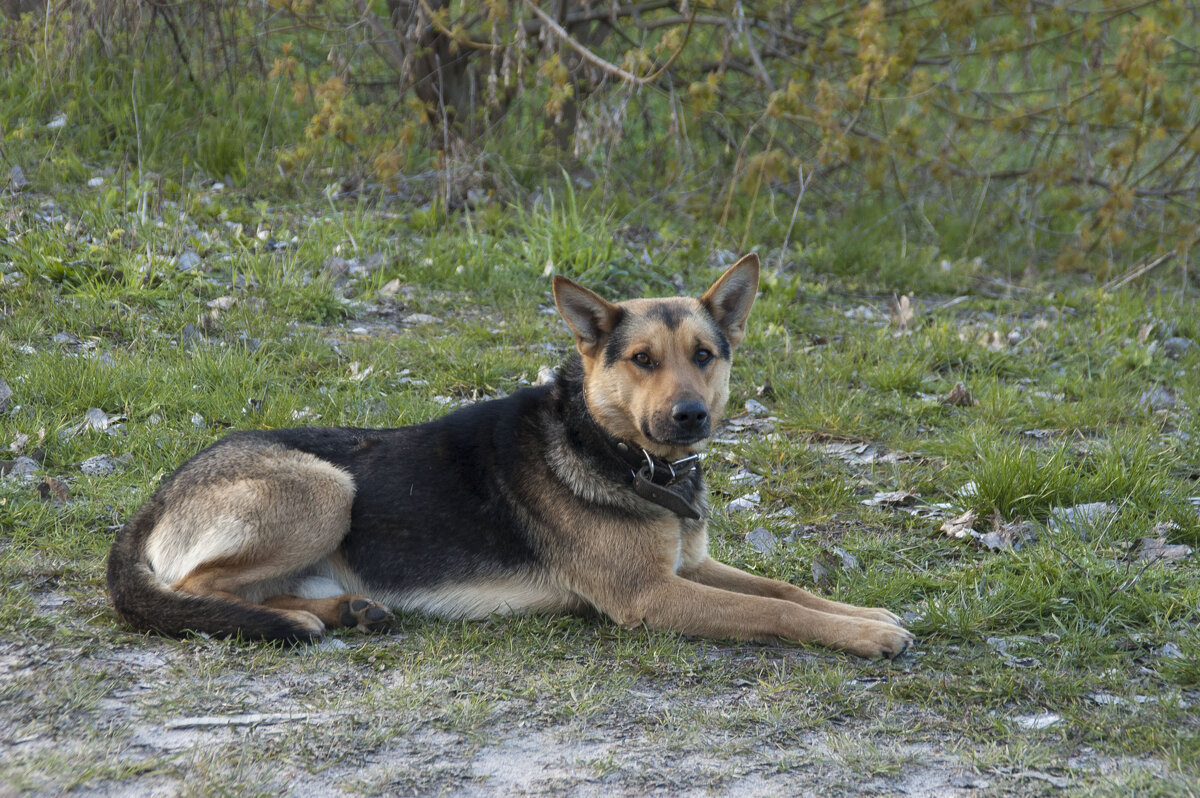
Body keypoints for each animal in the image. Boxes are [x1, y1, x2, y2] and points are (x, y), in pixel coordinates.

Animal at [110, 256, 907, 657]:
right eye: (643, 360)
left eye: (704, 355)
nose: (691, 417)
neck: (616, 449)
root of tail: (156, 496)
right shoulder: (653, 596)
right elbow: (776, 613)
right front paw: (864, 635)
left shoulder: (691, 567)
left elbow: (786, 591)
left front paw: (864, 610)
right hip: (326, 488)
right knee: (197, 587)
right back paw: (300, 620)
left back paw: (347, 610)